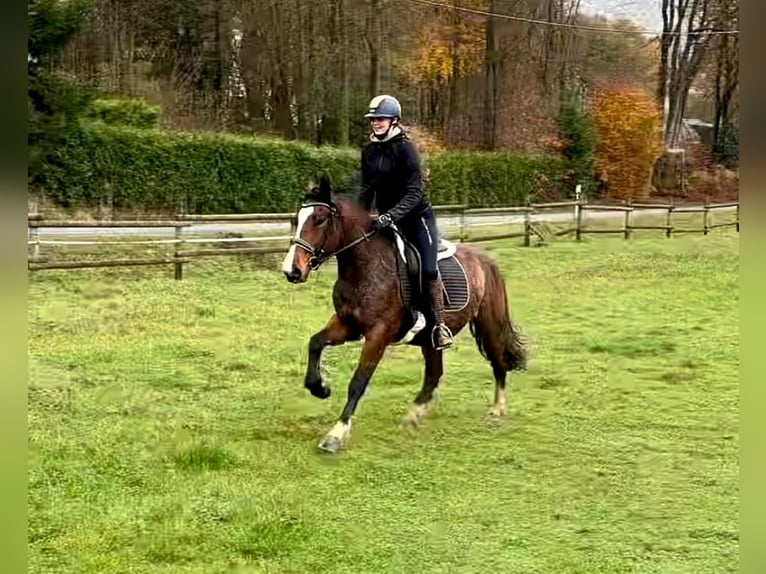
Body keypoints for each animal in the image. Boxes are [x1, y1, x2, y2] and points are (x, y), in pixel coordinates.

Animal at [282, 176, 528, 454]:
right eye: (299, 217)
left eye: (320, 219)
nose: (292, 270)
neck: (365, 267)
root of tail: (485, 259)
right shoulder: (347, 324)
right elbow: (315, 342)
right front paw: (320, 388)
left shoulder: (378, 334)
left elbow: (358, 382)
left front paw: (336, 434)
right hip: (430, 340)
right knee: (434, 374)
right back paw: (414, 415)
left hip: (488, 322)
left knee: (498, 361)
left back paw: (497, 409)